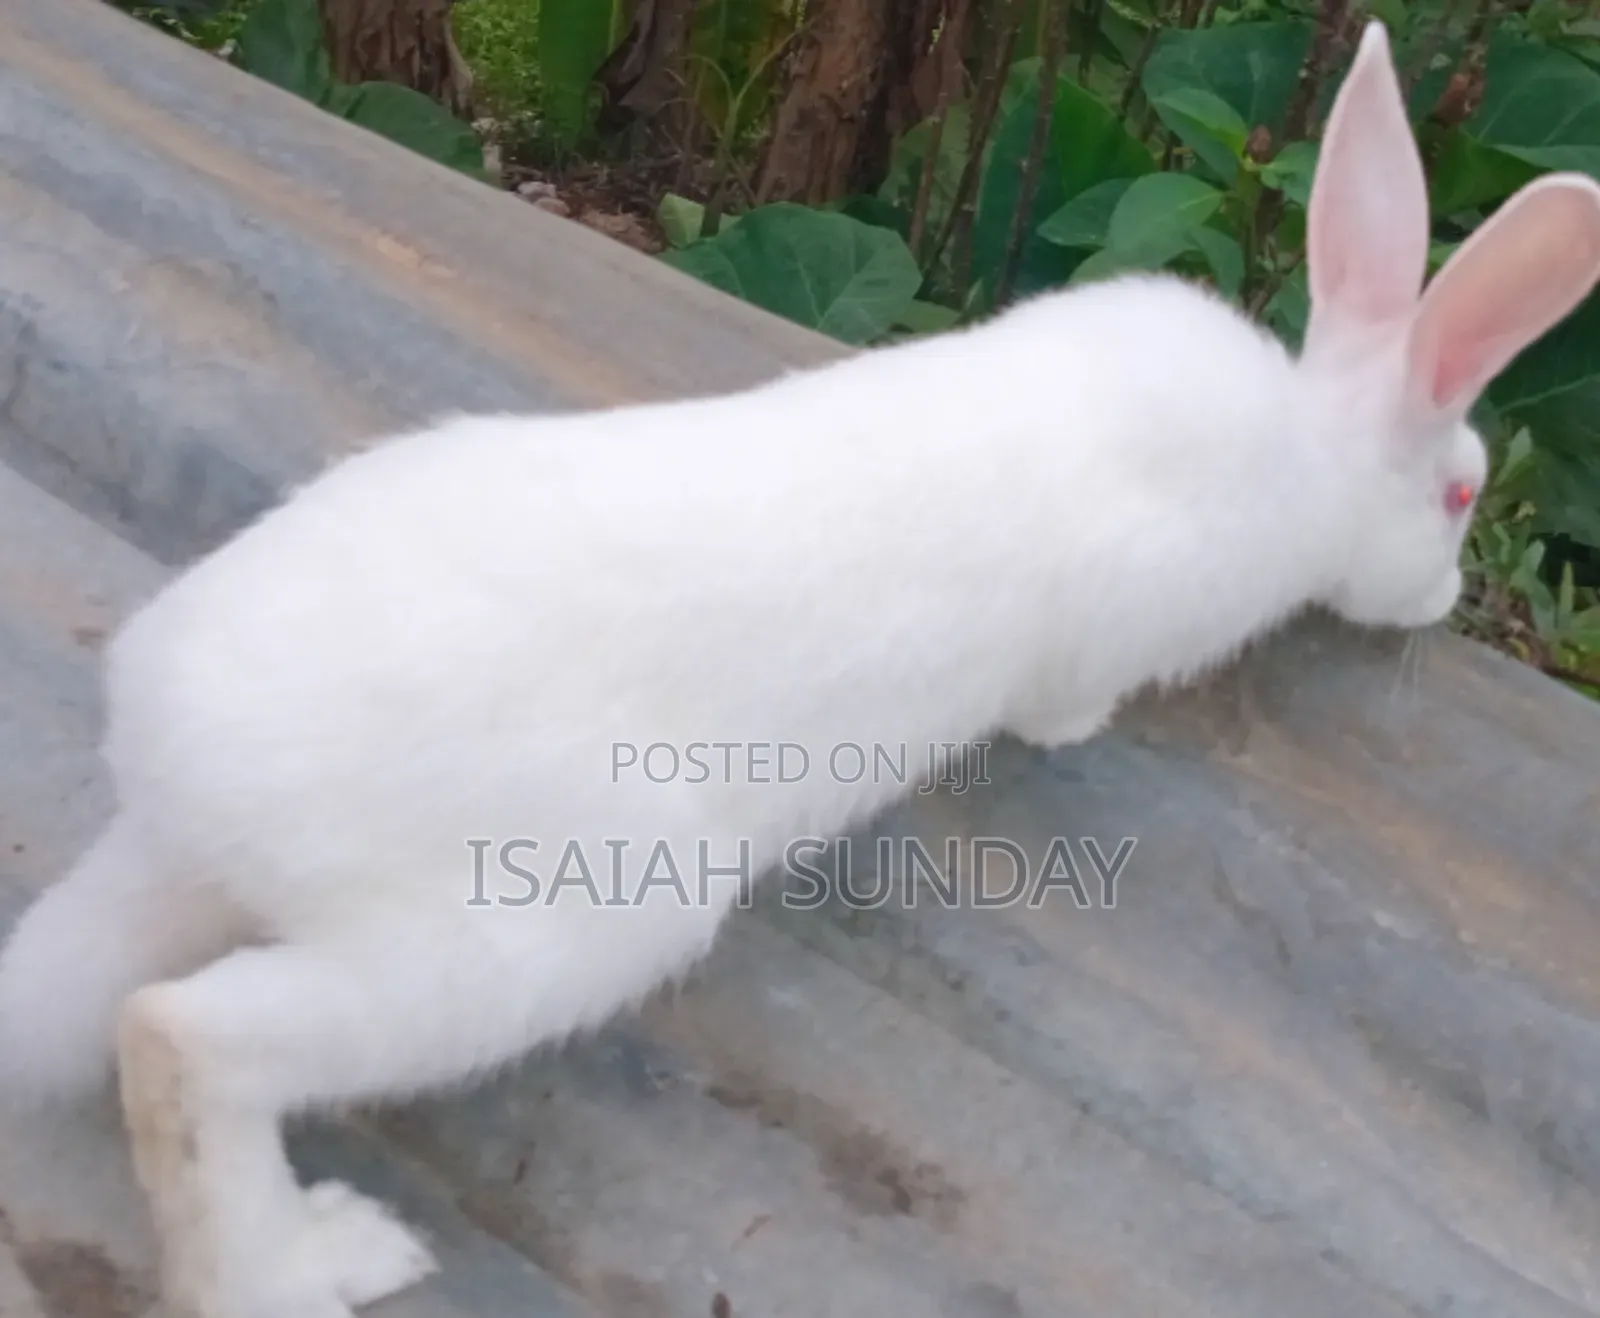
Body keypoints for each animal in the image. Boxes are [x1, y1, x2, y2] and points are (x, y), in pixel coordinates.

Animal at [2, 19, 1598, 1318]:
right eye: (1461, 493)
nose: (1444, 597)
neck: (1305, 445)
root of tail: (174, 763)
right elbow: (1066, 698)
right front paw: (1079, 728)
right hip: (552, 919)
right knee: (181, 1042)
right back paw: (311, 1263)